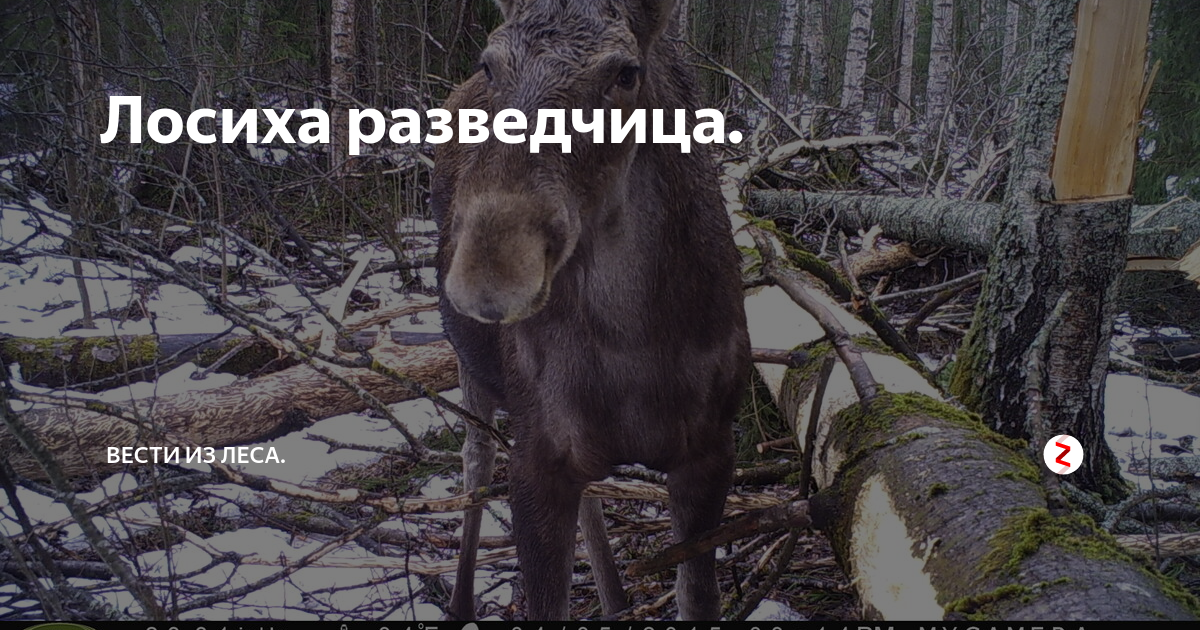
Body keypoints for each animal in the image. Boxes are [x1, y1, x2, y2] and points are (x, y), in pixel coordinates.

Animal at [432, 0, 749, 620]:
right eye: (490, 62)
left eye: (625, 73)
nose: (491, 271)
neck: (636, 345)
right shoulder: (534, 461)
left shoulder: (710, 450)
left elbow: (698, 598)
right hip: (472, 368)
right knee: (475, 456)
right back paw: (459, 601)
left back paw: (615, 596)